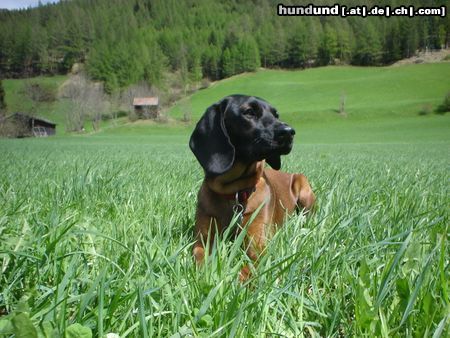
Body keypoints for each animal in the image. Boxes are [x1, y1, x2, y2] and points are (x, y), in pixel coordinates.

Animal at [188, 94, 314, 280]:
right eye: (249, 112)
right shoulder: (202, 239)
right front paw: (208, 275)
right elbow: (201, 257)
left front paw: (229, 280)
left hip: (304, 187)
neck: (234, 193)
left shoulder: (260, 245)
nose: (289, 131)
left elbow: (247, 270)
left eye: (276, 115)